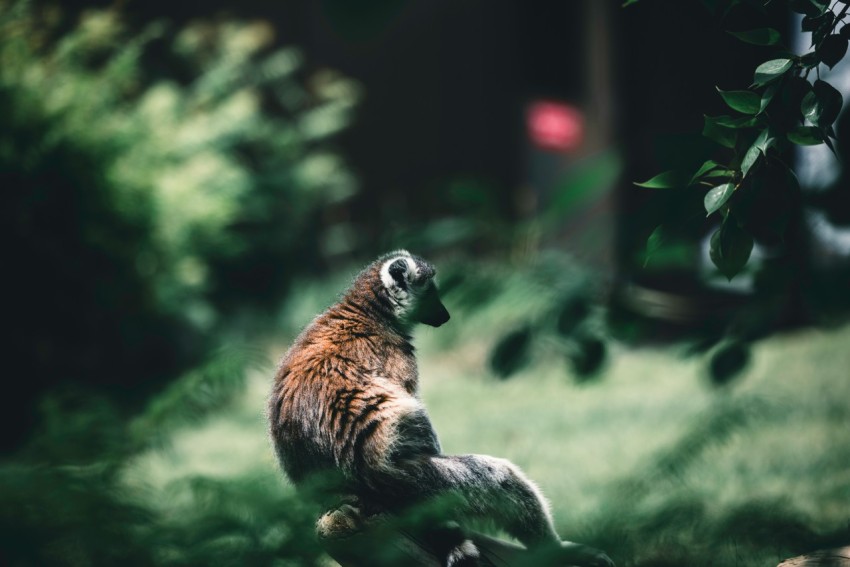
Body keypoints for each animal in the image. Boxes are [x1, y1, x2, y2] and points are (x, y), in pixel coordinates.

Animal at [268, 250, 614, 567]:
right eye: (430, 290)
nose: (444, 314)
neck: (369, 309)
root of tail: (341, 493)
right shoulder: (395, 358)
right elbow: (414, 418)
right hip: (412, 484)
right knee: (497, 479)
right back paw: (555, 550)